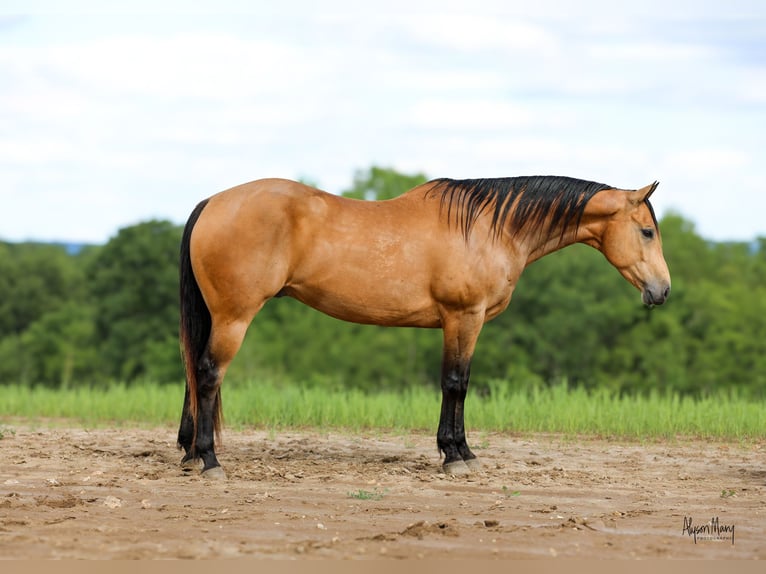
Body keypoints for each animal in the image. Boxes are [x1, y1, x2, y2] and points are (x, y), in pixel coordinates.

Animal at [177, 174, 668, 476]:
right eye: (646, 231)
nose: (662, 291)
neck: (488, 228)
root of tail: (212, 202)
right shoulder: (463, 318)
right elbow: (456, 383)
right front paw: (455, 456)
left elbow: (457, 384)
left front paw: (462, 451)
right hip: (234, 318)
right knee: (208, 374)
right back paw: (210, 460)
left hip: (217, 317)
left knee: (193, 374)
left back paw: (189, 453)